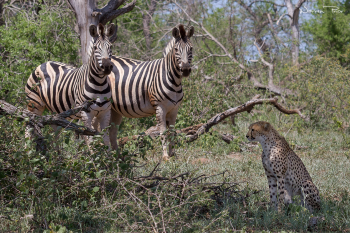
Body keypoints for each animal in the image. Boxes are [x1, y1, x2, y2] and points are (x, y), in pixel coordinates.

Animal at [109, 24, 194, 161]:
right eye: (176, 49)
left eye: (191, 48)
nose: (185, 69)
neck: (174, 80)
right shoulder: (160, 108)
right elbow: (163, 133)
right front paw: (165, 157)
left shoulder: (174, 109)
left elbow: (172, 133)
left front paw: (173, 154)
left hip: (114, 109)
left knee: (111, 132)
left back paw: (117, 157)